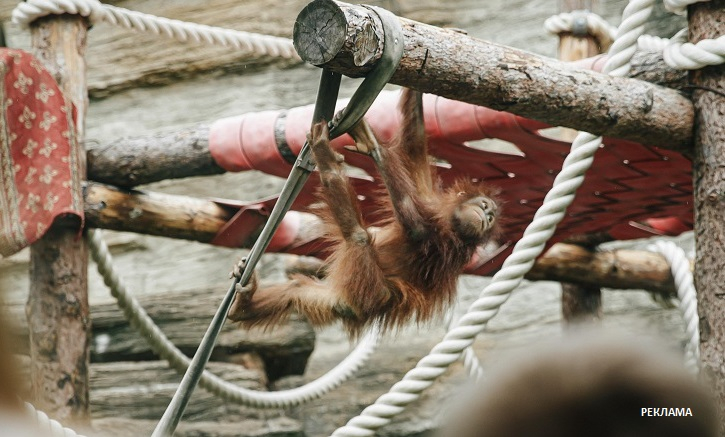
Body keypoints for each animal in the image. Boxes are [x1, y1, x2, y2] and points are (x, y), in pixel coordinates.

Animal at [227, 89, 500, 337]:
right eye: (485, 207)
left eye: (490, 216)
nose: (488, 218)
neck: (448, 219)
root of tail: (354, 307)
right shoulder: (428, 195)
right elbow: (414, 146)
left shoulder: (452, 244)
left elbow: (417, 228)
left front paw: (374, 146)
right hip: (335, 300)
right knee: (296, 289)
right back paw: (244, 305)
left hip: (369, 292)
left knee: (357, 236)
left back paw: (326, 160)